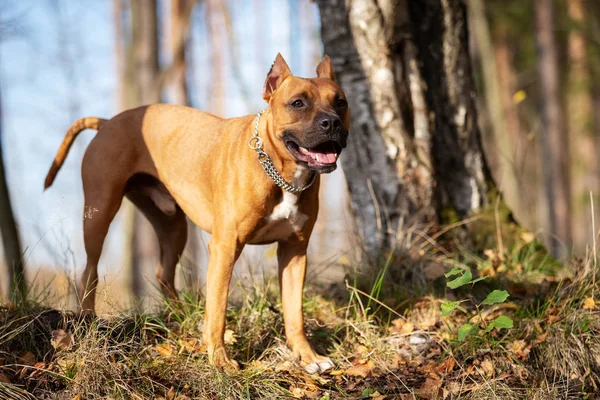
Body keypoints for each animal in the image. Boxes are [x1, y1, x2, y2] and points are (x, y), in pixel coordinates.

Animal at [44, 52, 350, 372]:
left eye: (341, 102)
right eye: (298, 102)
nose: (331, 122)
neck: (279, 171)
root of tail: (107, 123)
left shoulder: (295, 251)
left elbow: (294, 313)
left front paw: (308, 357)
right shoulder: (225, 247)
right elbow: (217, 309)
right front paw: (220, 360)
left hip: (173, 225)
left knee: (163, 273)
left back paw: (181, 319)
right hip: (99, 212)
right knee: (90, 270)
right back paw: (88, 319)